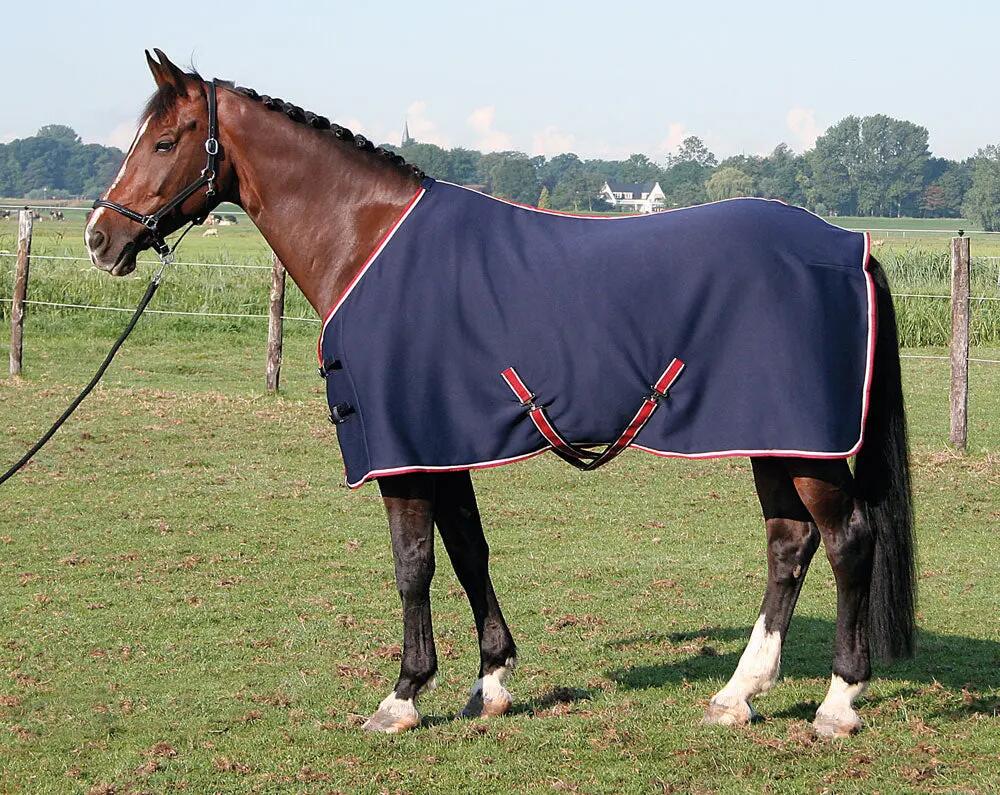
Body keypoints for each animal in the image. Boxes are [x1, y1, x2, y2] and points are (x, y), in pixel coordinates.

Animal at [85, 49, 915, 737]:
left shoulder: (403, 453)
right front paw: (490, 682)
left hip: (803, 444)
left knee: (846, 541)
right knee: (789, 543)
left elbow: (413, 562)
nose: (100, 238)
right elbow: (468, 551)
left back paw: (838, 702)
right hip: (771, 436)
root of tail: (849, 246)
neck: (369, 241)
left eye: (166, 142)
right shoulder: (441, 443)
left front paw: (403, 695)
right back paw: (738, 693)